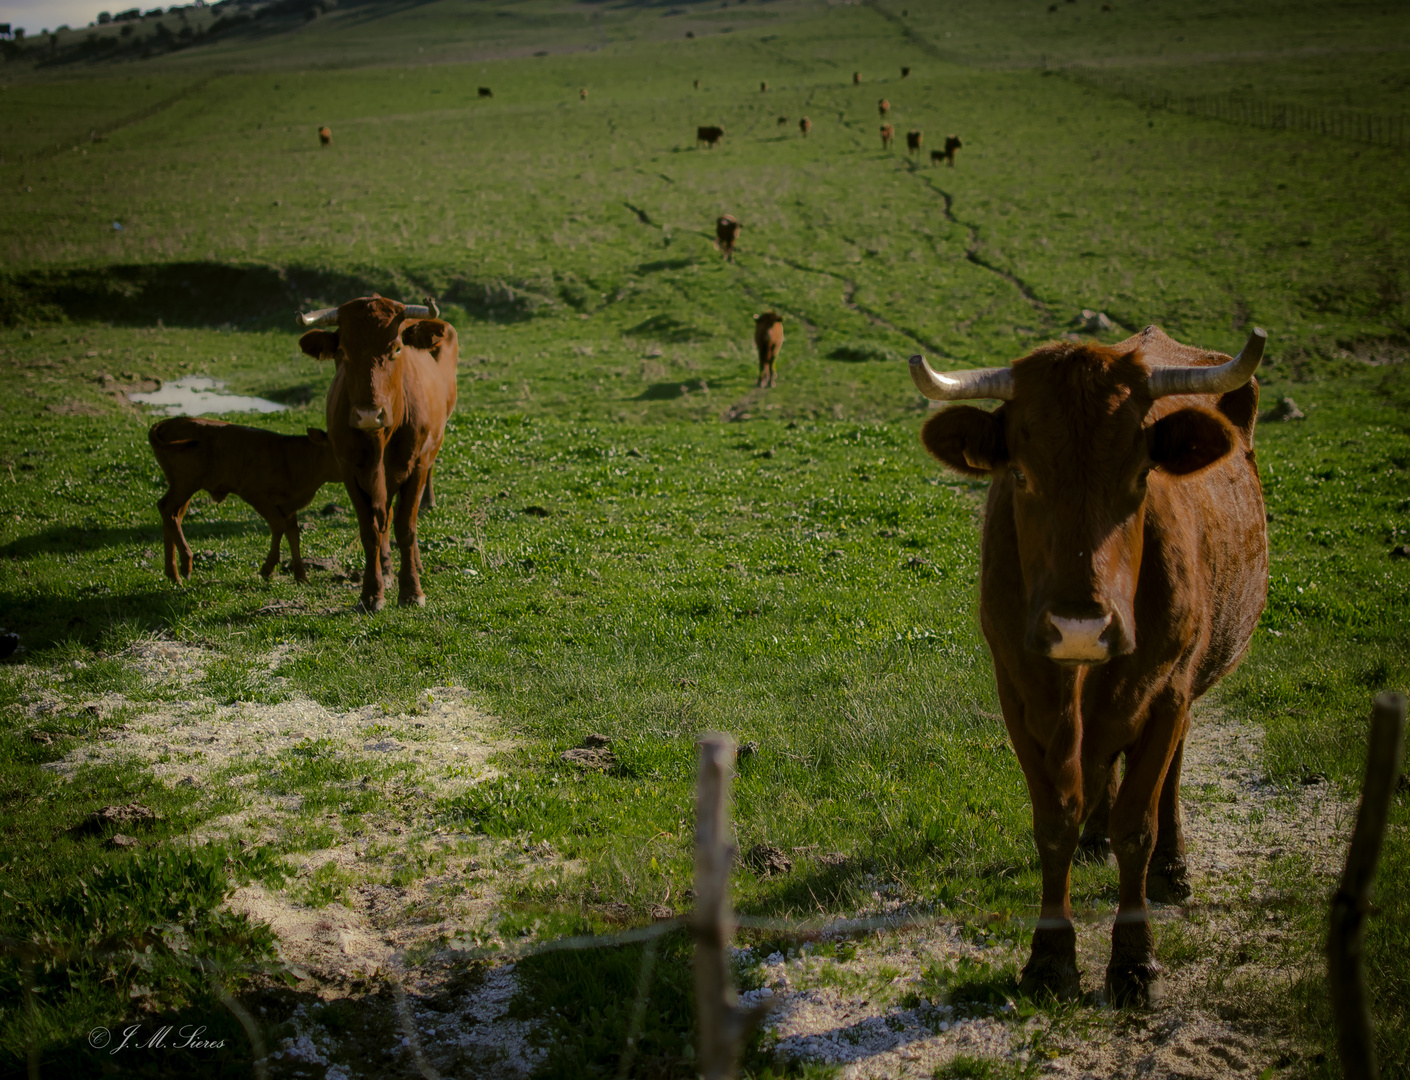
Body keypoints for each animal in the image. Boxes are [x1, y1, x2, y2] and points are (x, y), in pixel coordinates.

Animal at [149, 417, 344, 586]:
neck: (292, 460)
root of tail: (168, 421)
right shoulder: (256, 494)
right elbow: (279, 525)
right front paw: (268, 568)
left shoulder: (288, 505)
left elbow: (293, 533)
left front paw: (302, 578)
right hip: (186, 482)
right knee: (166, 509)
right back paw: (185, 565)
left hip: (182, 486)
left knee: (173, 515)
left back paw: (173, 574)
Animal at [300, 296, 459, 614]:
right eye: (342, 352)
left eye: (396, 348)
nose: (368, 414)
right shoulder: (351, 471)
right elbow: (371, 530)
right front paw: (371, 593)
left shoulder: (417, 465)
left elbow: (406, 527)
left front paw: (411, 591)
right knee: (384, 515)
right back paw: (385, 569)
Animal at [908, 327, 1274, 1003]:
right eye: (1020, 475)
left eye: (1141, 474)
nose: (1080, 625)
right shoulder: (1019, 690)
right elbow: (1055, 821)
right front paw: (1050, 959)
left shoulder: (1166, 686)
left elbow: (1139, 825)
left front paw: (1134, 961)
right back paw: (1097, 832)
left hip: (1181, 682)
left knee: (1165, 772)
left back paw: (1172, 868)